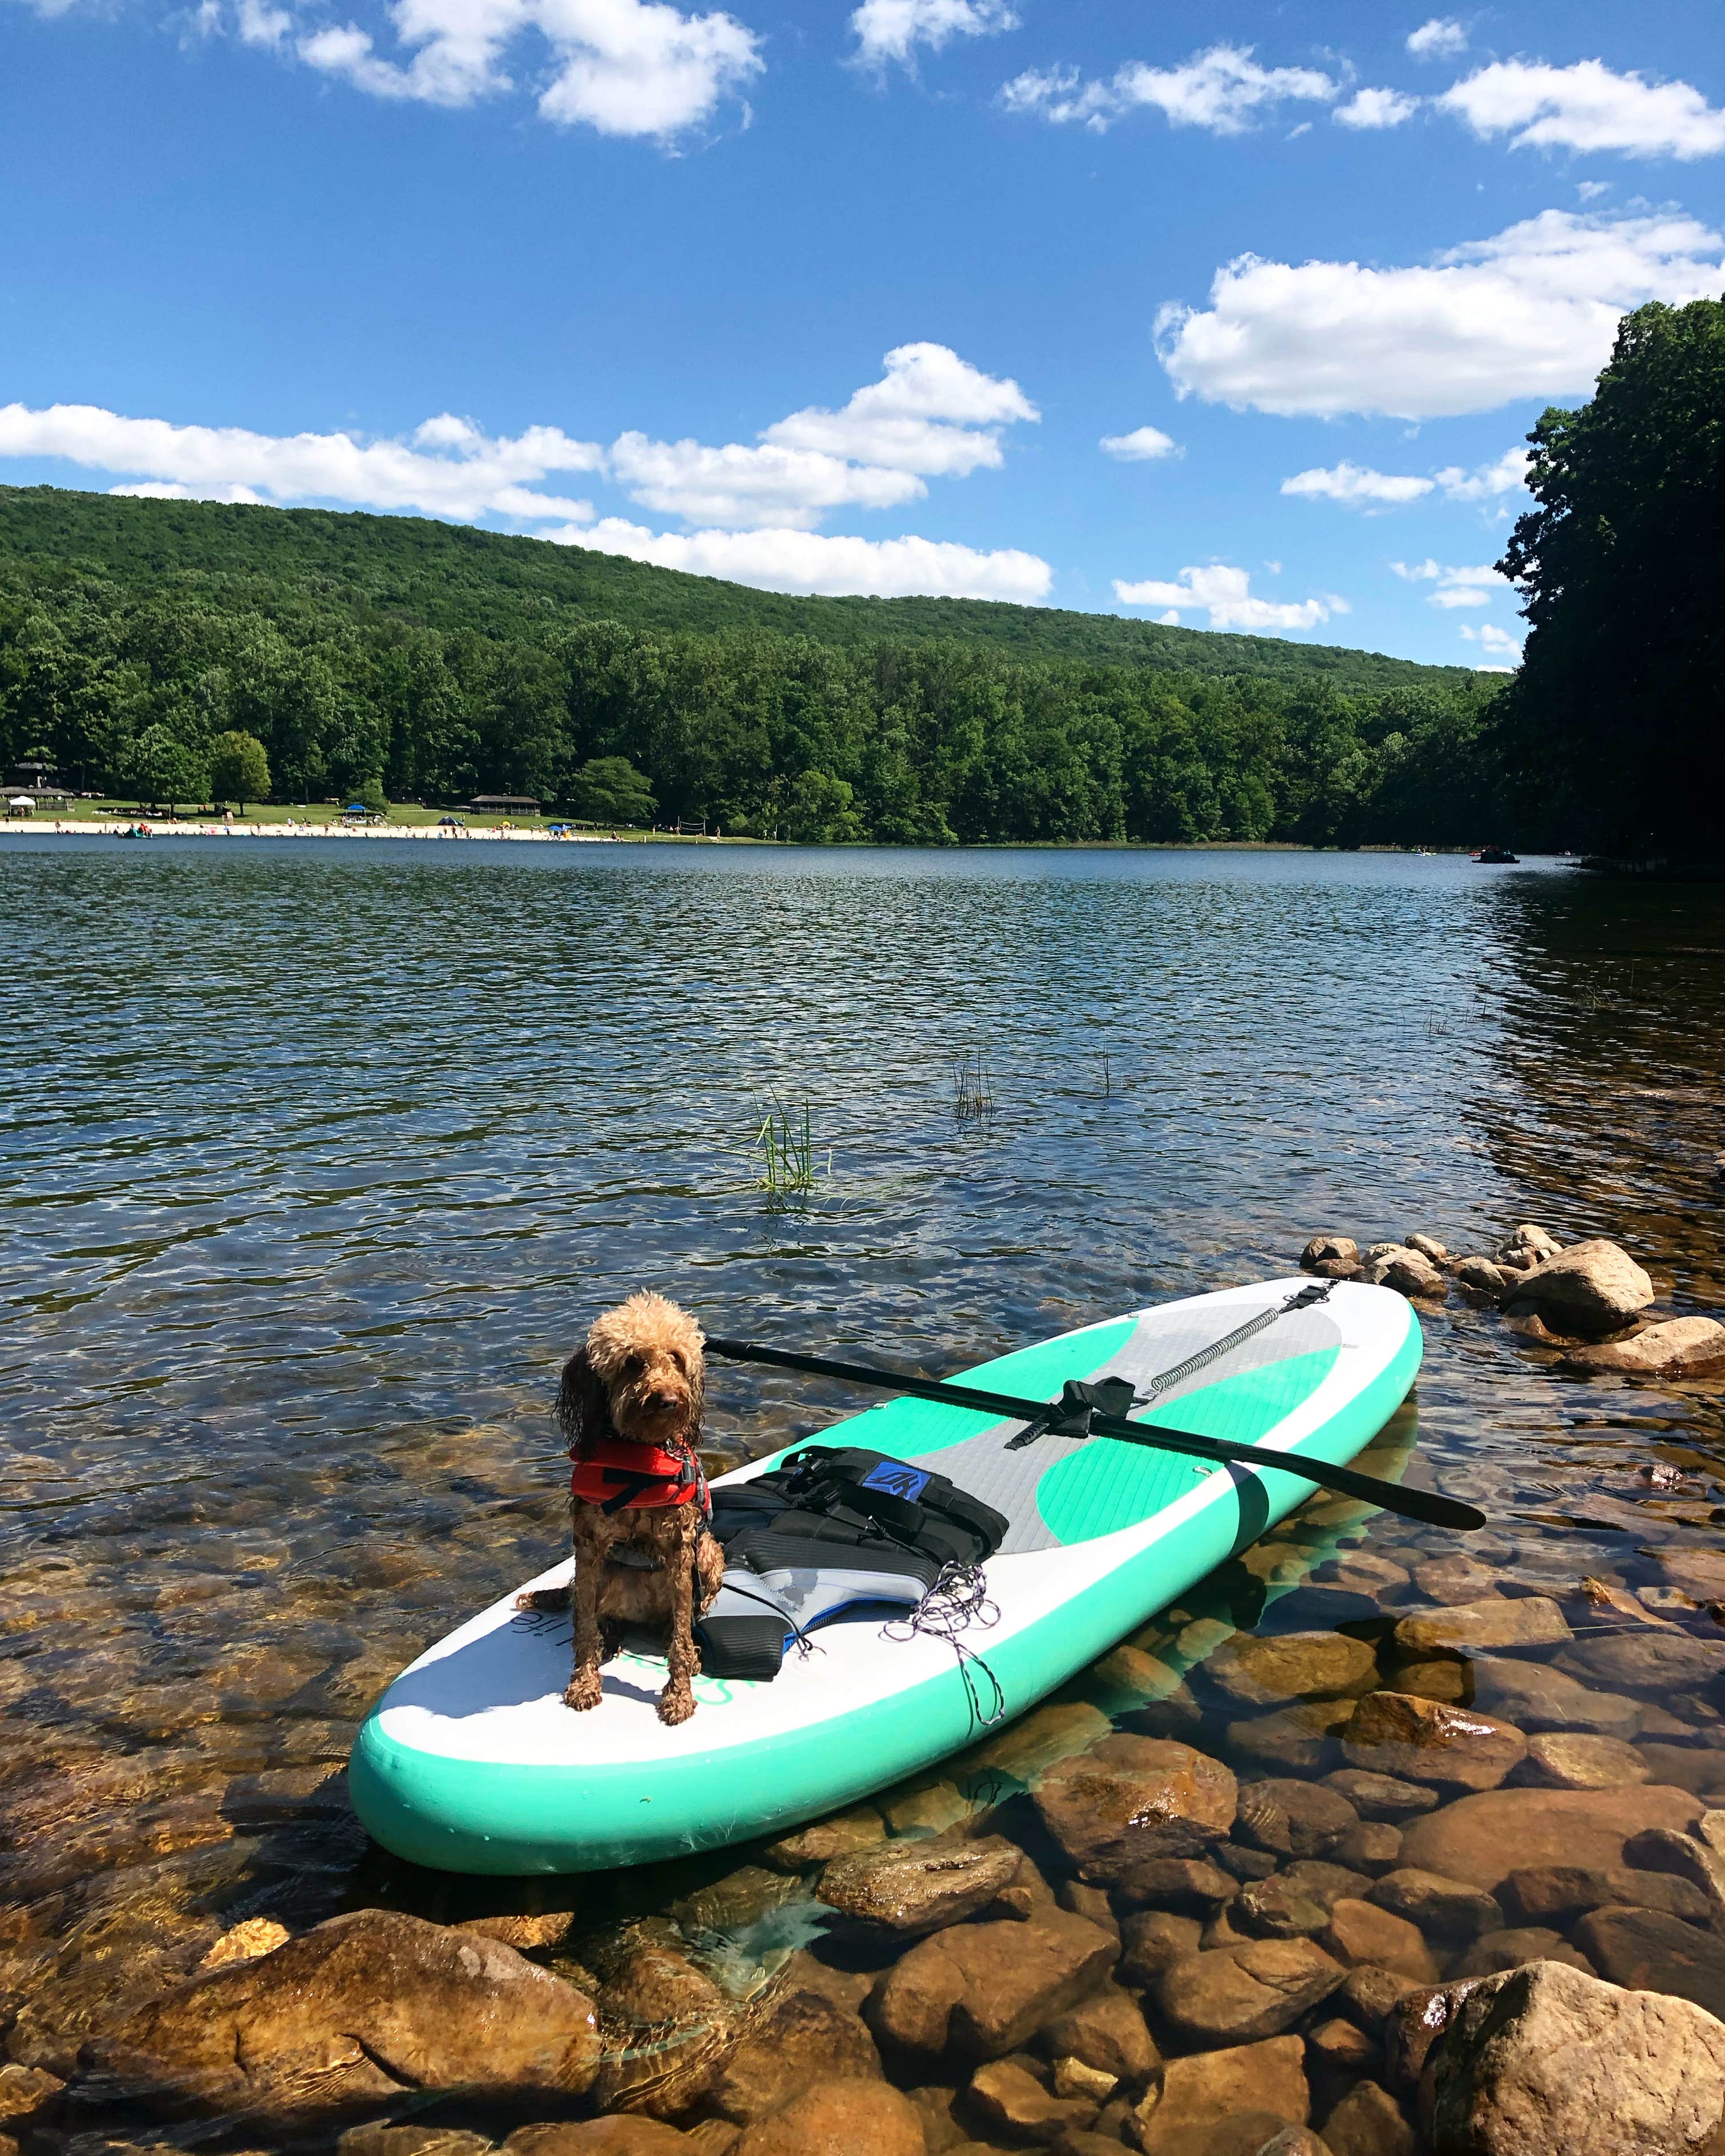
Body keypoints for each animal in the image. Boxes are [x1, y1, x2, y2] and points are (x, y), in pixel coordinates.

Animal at [519, 1284, 720, 1725]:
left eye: (676, 1358)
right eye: (632, 1362)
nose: (668, 1399)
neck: (639, 1460)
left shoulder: (681, 1549)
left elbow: (682, 1637)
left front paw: (679, 1695)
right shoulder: (589, 1546)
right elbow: (582, 1629)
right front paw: (584, 1682)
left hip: (708, 1552)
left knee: (687, 1615)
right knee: (595, 1616)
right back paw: (609, 1638)